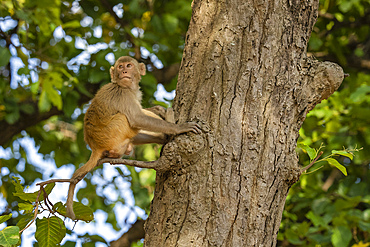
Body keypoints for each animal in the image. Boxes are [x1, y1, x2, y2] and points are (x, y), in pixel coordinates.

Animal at [65, 56, 201, 220]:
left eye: (128, 66)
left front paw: (160, 117)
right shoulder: (123, 94)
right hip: (114, 132)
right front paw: (179, 128)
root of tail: (95, 146)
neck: (126, 87)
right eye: (120, 67)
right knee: (126, 117)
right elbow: (137, 118)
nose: (124, 71)